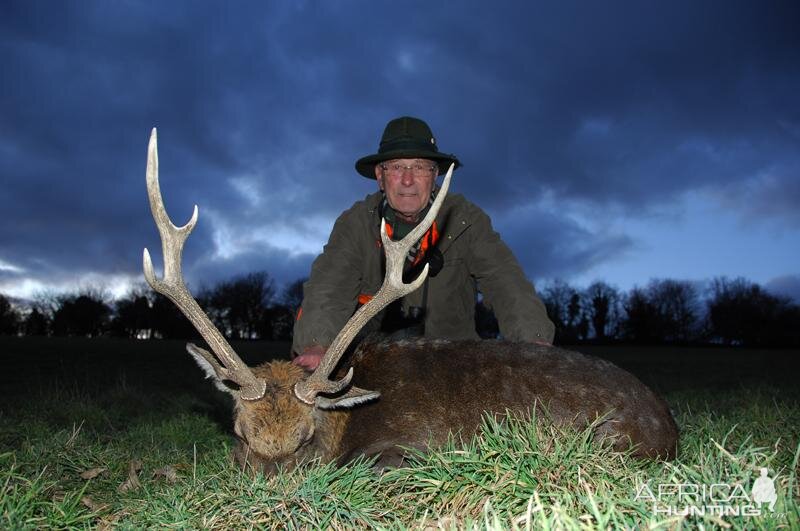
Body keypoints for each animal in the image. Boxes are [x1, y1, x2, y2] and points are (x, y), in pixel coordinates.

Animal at [142, 130, 676, 478]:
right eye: (240, 434)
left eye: (306, 440)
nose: (269, 491)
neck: (347, 421)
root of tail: (670, 429)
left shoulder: (404, 446)